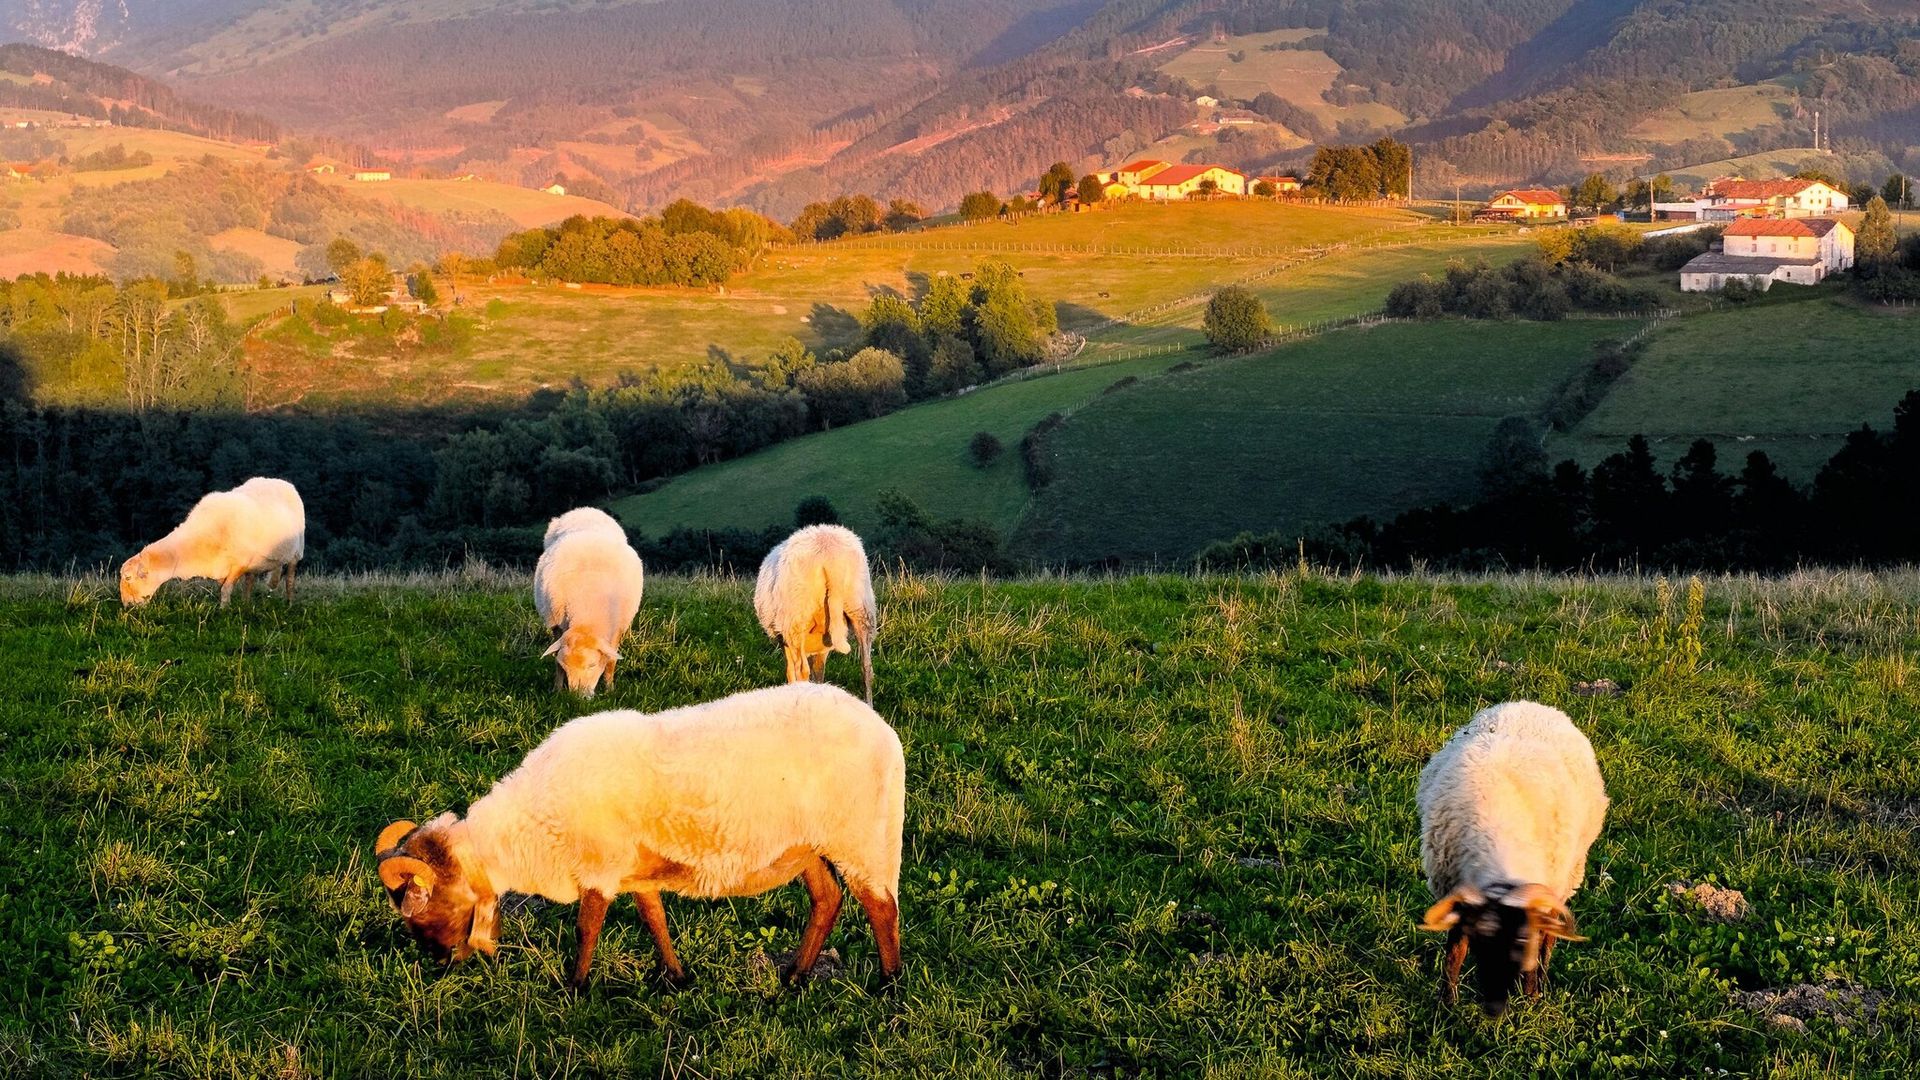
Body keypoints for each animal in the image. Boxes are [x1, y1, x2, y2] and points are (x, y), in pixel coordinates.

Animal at [118, 476, 303, 607]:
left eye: (128, 578)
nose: (127, 606)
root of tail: (280, 481)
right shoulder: (221, 568)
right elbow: (223, 588)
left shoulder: (239, 563)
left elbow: (226, 589)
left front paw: (224, 612)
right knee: (250, 582)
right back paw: (246, 605)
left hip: (296, 552)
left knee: (289, 580)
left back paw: (289, 605)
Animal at [384, 680, 913, 983]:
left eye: (424, 907)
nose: (440, 963)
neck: (531, 827)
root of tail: (878, 724)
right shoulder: (634, 870)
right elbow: (653, 918)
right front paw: (676, 977)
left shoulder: (599, 867)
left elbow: (586, 927)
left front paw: (575, 987)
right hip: (807, 847)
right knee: (827, 900)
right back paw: (796, 978)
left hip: (866, 837)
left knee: (882, 909)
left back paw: (888, 986)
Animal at [533, 503, 645, 691]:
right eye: (566, 667)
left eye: (592, 665)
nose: (578, 696)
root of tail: (584, 510)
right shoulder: (557, 623)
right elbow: (556, 661)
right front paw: (557, 689)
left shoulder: (616, 627)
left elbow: (611, 661)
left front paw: (609, 689)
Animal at [752, 518, 879, 699]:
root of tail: (829, 552)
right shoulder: (822, 647)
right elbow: (819, 673)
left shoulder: (786, 640)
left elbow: (791, 672)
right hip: (861, 608)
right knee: (866, 667)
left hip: (796, 619)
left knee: (801, 670)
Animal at [1413, 699, 1605, 1006]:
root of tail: (1530, 703)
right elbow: (1455, 950)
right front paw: (1448, 1003)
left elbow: (1540, 940)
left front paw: (1531, 997)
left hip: (1567, 874)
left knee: (1550, 935)